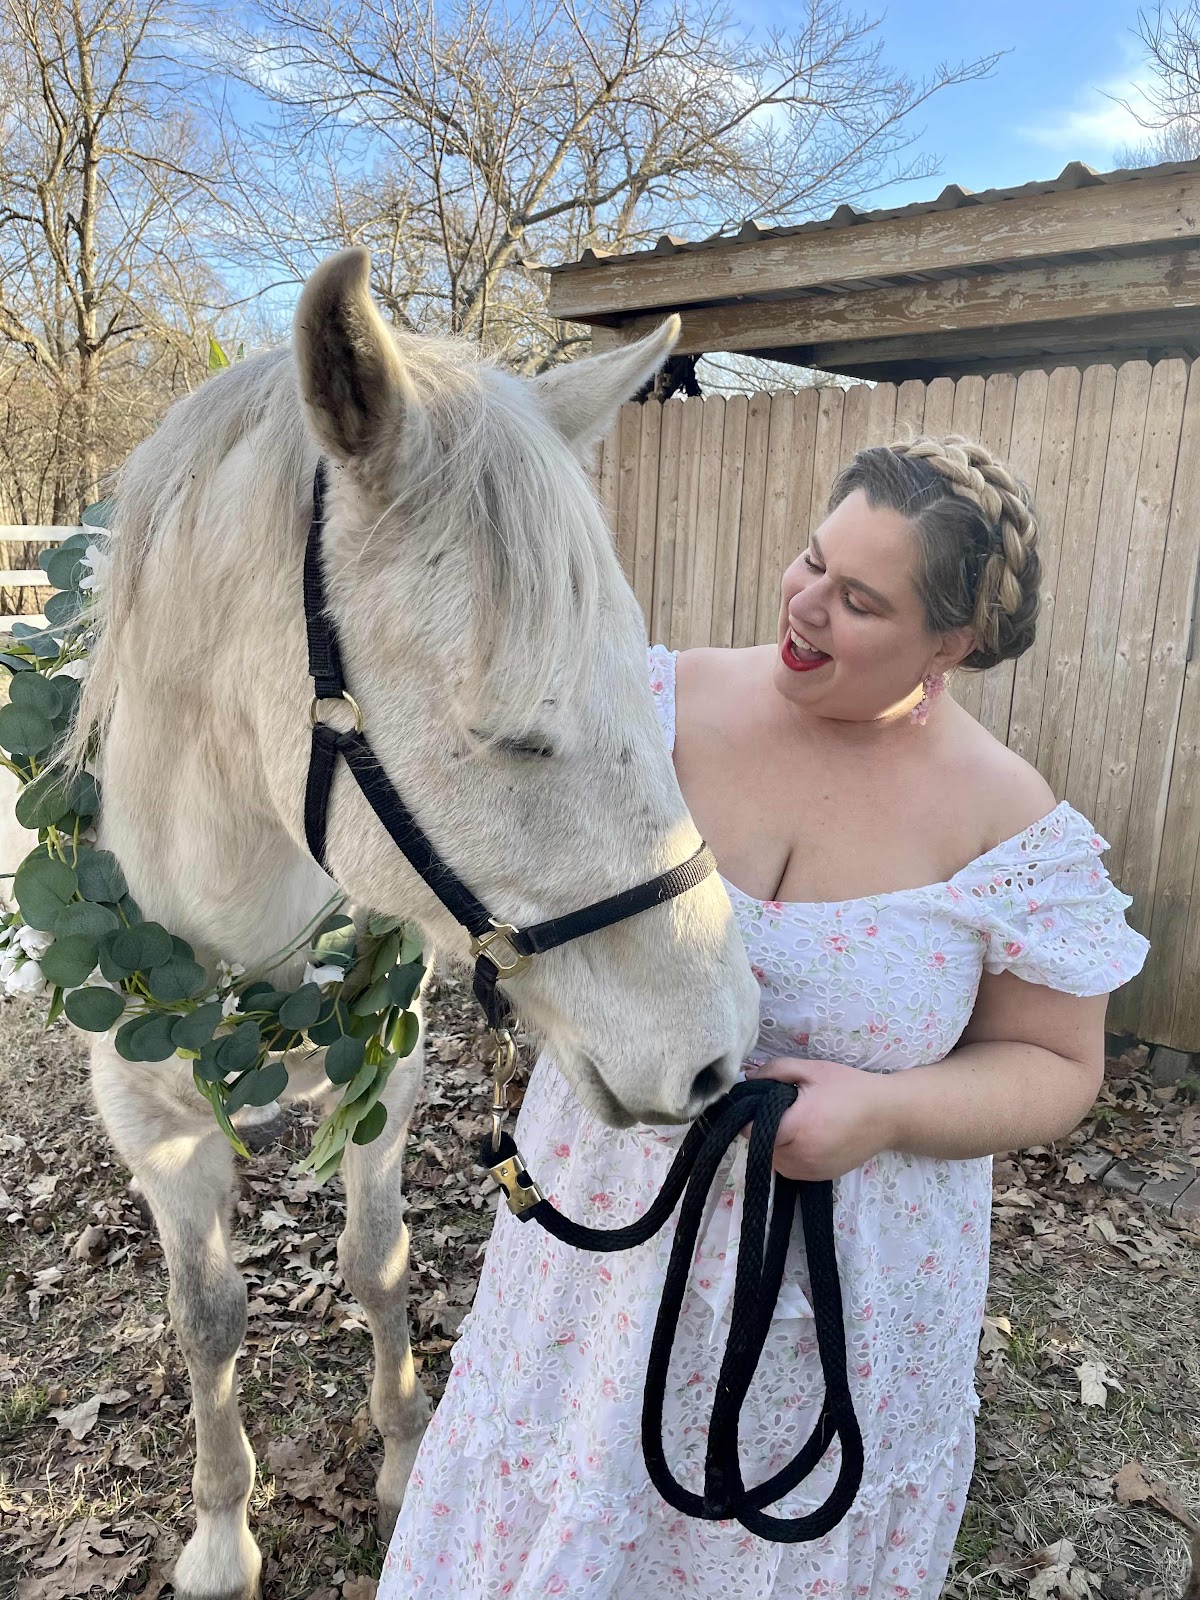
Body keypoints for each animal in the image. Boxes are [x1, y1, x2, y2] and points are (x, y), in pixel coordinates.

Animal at [67, 247, 759, 1600]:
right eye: (515, 732)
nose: (718, 1054)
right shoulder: (152, 1131)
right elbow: (207, 1318)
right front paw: (221, 1532)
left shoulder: (380, 1075)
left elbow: (376, 1261)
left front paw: (398, 1454)